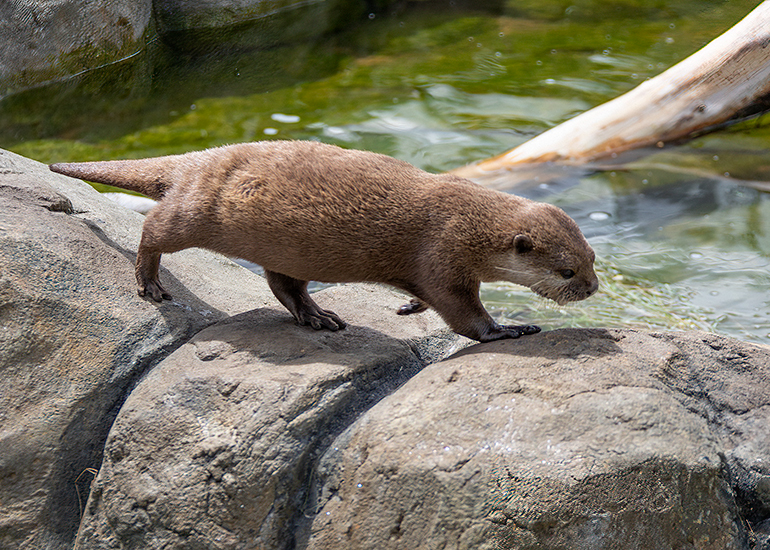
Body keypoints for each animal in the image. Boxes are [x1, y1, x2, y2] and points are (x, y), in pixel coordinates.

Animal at [49, 141, 598, 342]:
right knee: (152, 230)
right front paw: (509, 329)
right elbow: (463, 314)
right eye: (566, 271)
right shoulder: (443, 253)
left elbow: (425, 297)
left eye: (593, 257)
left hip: (281, 248)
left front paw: (409, 308)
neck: (469, 220)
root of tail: (196, 160)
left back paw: (318, 316)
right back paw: (150, 284)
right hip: (196, 211)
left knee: (283, 284)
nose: (592, 288)